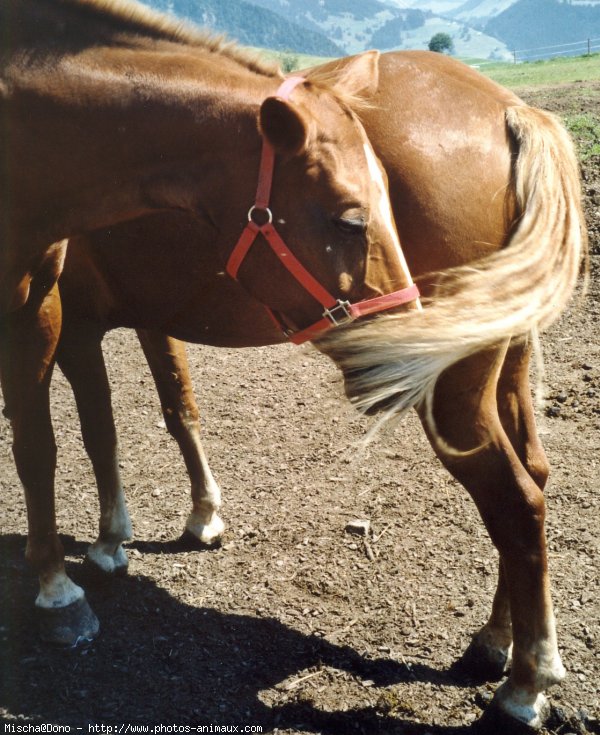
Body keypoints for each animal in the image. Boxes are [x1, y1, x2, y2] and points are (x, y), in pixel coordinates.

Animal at [0, 1, 418, 660]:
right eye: (350, 220)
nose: (411, 349)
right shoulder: (79, 325)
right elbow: (75, 437)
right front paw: (68, 582)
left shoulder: (56, 311)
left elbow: (156, 414)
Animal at [54, 51, 584, 732]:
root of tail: (508, 107)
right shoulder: (152, 317)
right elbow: (179, 410)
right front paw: (203, 515)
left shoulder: (69, 326)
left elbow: (98, 433)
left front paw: (106, 544)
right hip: (507, 362)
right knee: (531, 479)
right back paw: (496, 641)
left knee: (516, 501)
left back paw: (524, 684)